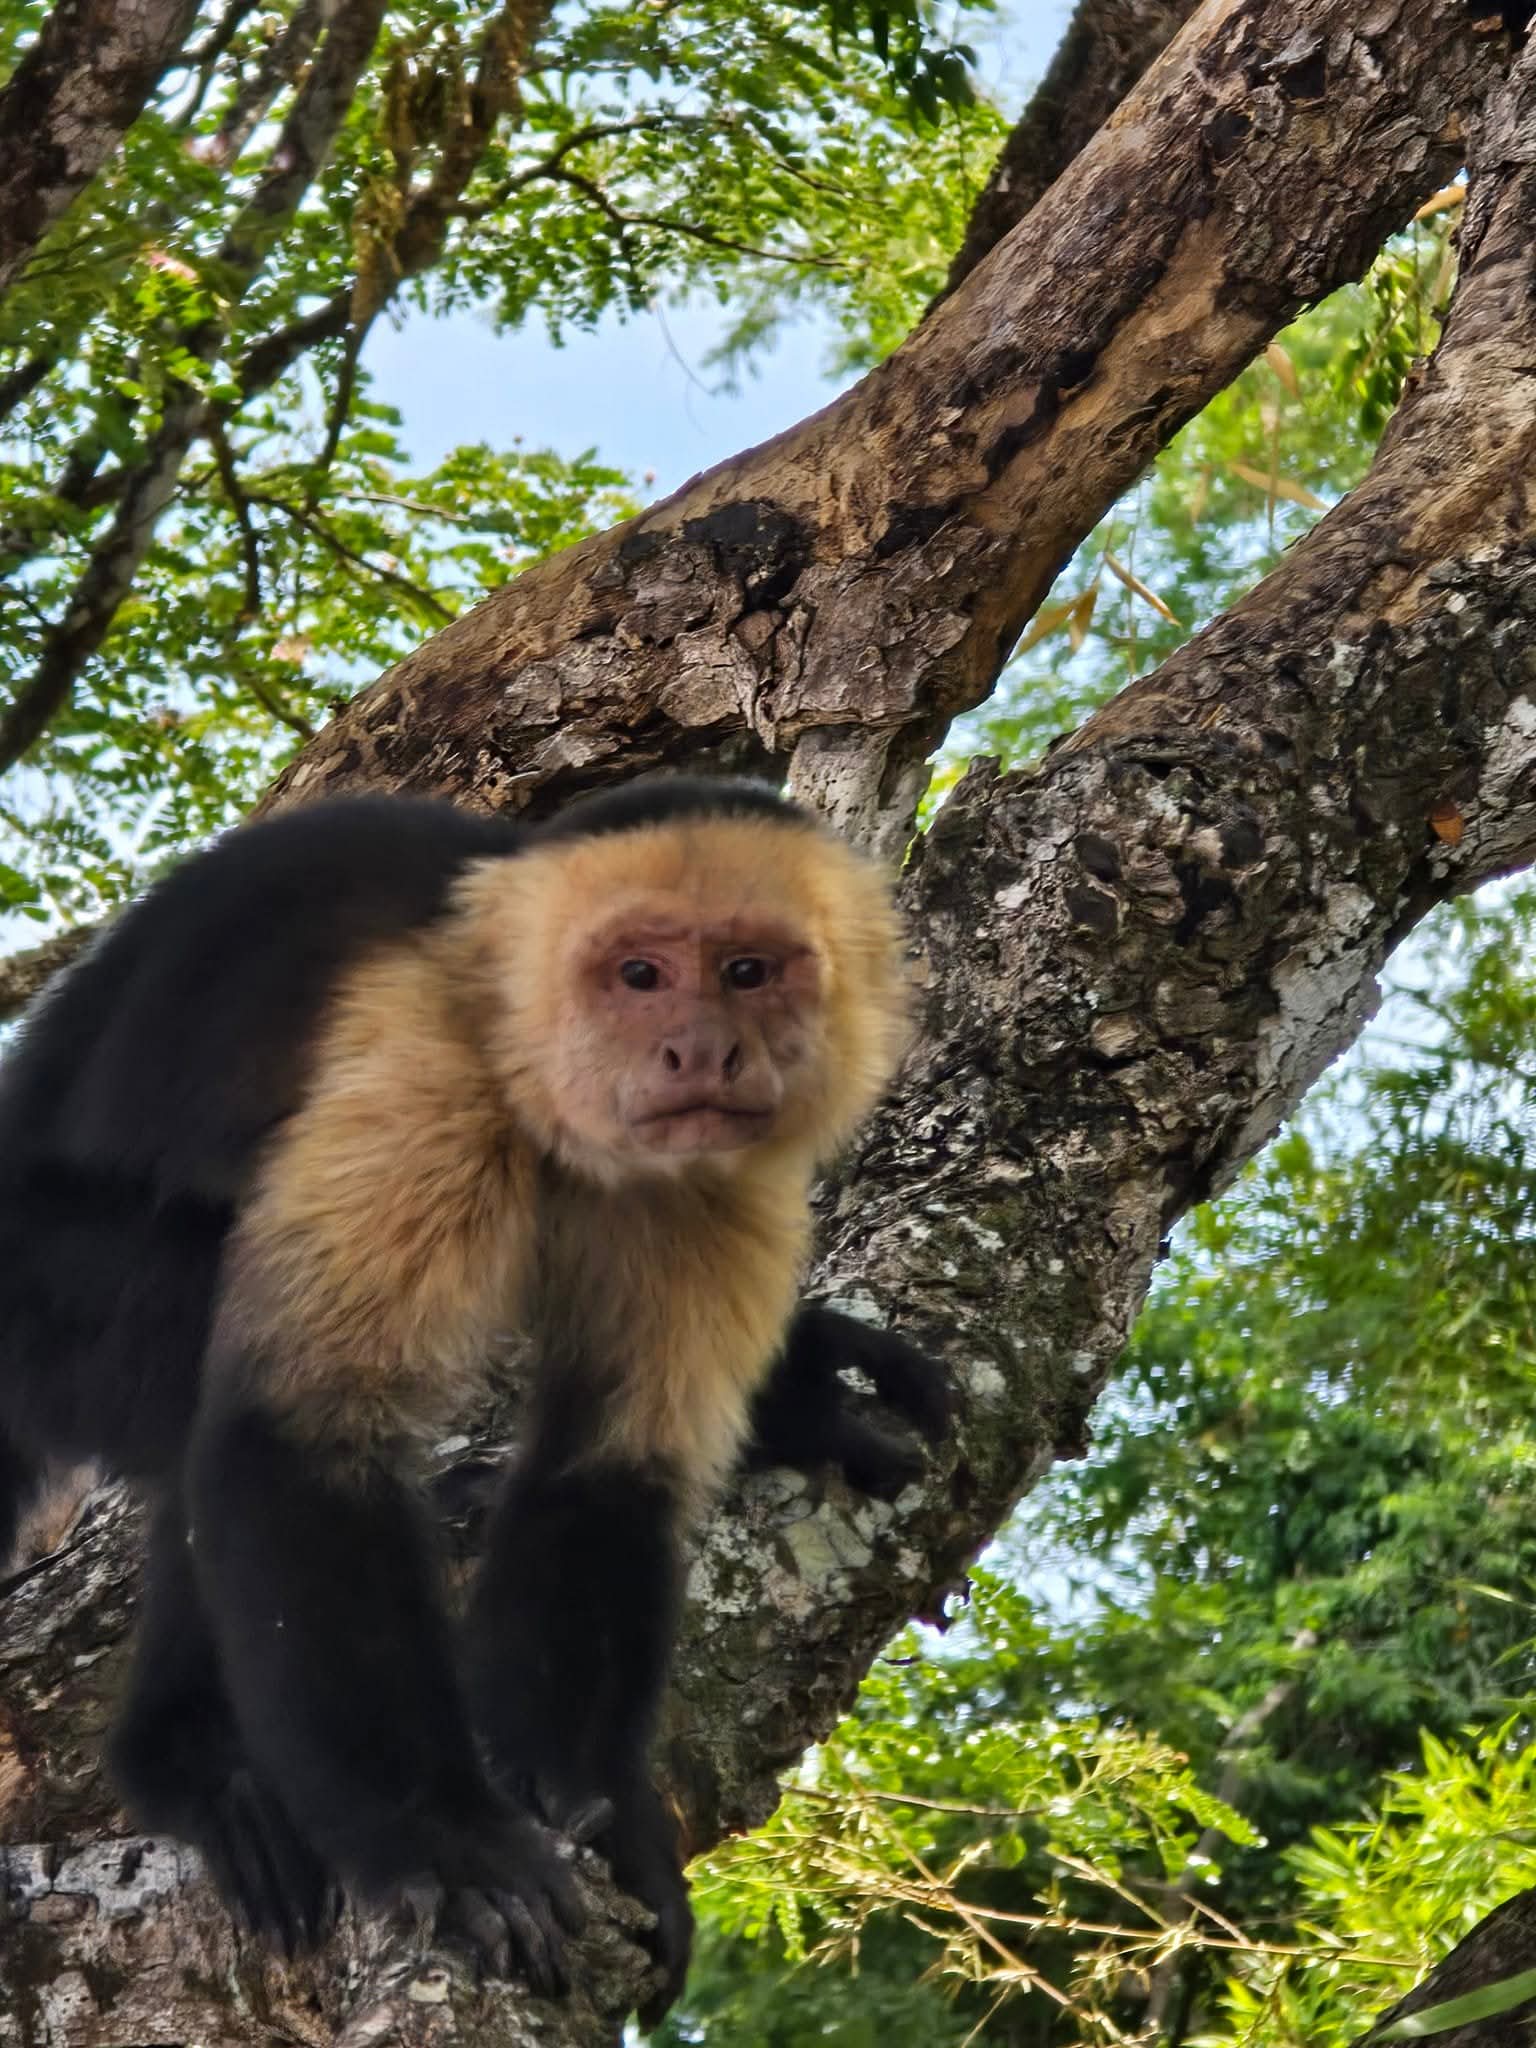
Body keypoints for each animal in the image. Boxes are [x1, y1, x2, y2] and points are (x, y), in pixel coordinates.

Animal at [0, 776, 948, 2025]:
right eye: (639, 973)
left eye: (749, 969)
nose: (701, 1048)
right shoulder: (426, 1067)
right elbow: (293, 1434)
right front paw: (445, 1839)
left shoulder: (715, 1178)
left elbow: (609, 1465)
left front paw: (598, 1804)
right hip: (33, 1283)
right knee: (211, 1350)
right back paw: (192, 1756)